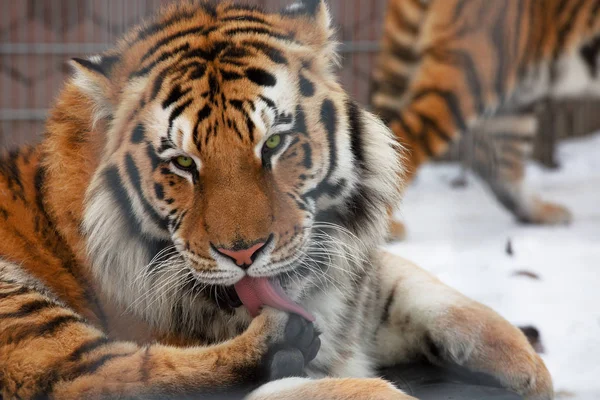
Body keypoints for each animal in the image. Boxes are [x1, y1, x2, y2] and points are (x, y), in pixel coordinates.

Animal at [0, 1, 552, 398]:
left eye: (273, 144)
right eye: (183, 163)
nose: (243, 253)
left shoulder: (358, 279)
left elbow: (442, 297)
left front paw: (533, 369)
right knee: (95, 377)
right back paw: (276, 345)